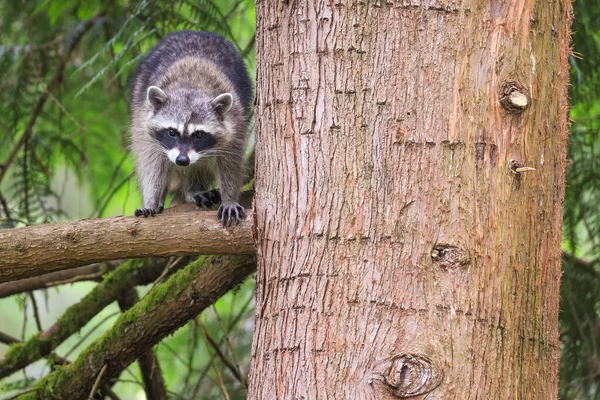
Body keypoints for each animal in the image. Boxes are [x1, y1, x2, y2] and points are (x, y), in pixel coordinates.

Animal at [129, 31, 253, 225]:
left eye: (199, 135)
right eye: (172, 132)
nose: (182, 160)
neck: (192, 86)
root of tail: (199, 32)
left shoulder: (235, 125)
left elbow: (231, 164)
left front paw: (229, 198)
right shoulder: (145, 126)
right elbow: (151, 164)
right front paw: (151, 198)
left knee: (199, 165)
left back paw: (193, 188)